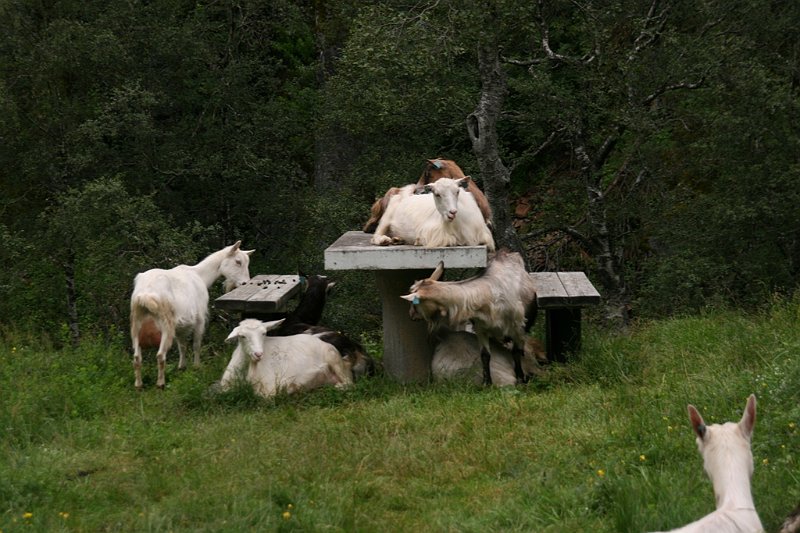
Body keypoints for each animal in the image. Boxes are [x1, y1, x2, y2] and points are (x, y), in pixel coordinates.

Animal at [130, 240, 253, 386]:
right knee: (160, 355)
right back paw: (160, 384)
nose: (245, 283)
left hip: (136, 324)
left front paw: (181, 367)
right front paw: (196, 367)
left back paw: (139, 385)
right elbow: (196, 344)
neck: (200, 275)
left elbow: (182, 346)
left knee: (137, 357)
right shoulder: (200, 319)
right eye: (238, 261)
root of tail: (145, 295)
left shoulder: (180, 326)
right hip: (165, 324)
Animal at [222, 318, 354, 396]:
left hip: (333, 358)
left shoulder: (270, 388)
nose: (258, 354)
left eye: (264, 333)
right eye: (242, 336)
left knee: (349, 383)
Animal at [400, 249, 536, 382]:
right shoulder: (481, 328)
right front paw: (487, 383)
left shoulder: (518, 330)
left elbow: (516, 353)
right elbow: (485, 355)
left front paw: (521, 379)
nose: (411, 316)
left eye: (413, 303)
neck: (491, 295)